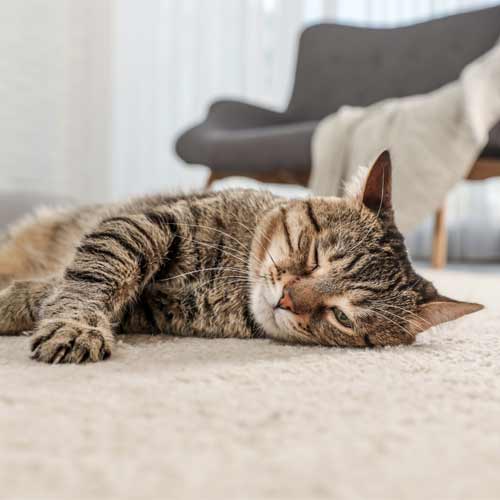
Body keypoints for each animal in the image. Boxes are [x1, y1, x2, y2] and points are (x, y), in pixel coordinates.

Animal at [0, 150, 484, 362]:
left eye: (343, 317)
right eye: (314, 255)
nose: (287, 299)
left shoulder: (148, 310)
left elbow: (49, 290)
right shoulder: (144, 225)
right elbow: (92, 276)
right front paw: (73, 325)